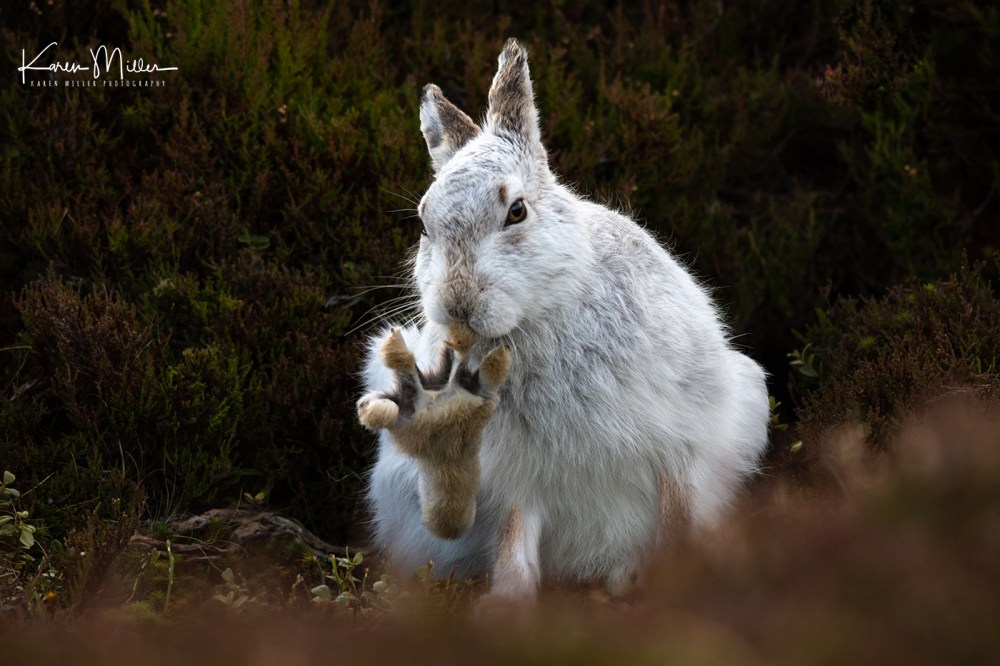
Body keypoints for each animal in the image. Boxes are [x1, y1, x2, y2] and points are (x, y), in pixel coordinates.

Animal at [358, 38, 770, 603]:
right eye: (424, 224)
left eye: (517, 211)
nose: (457, 301)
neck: (536, 319)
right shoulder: (517, 476)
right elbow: (514, 539)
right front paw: (507, 605)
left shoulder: (681, 443)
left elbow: (678, 515)